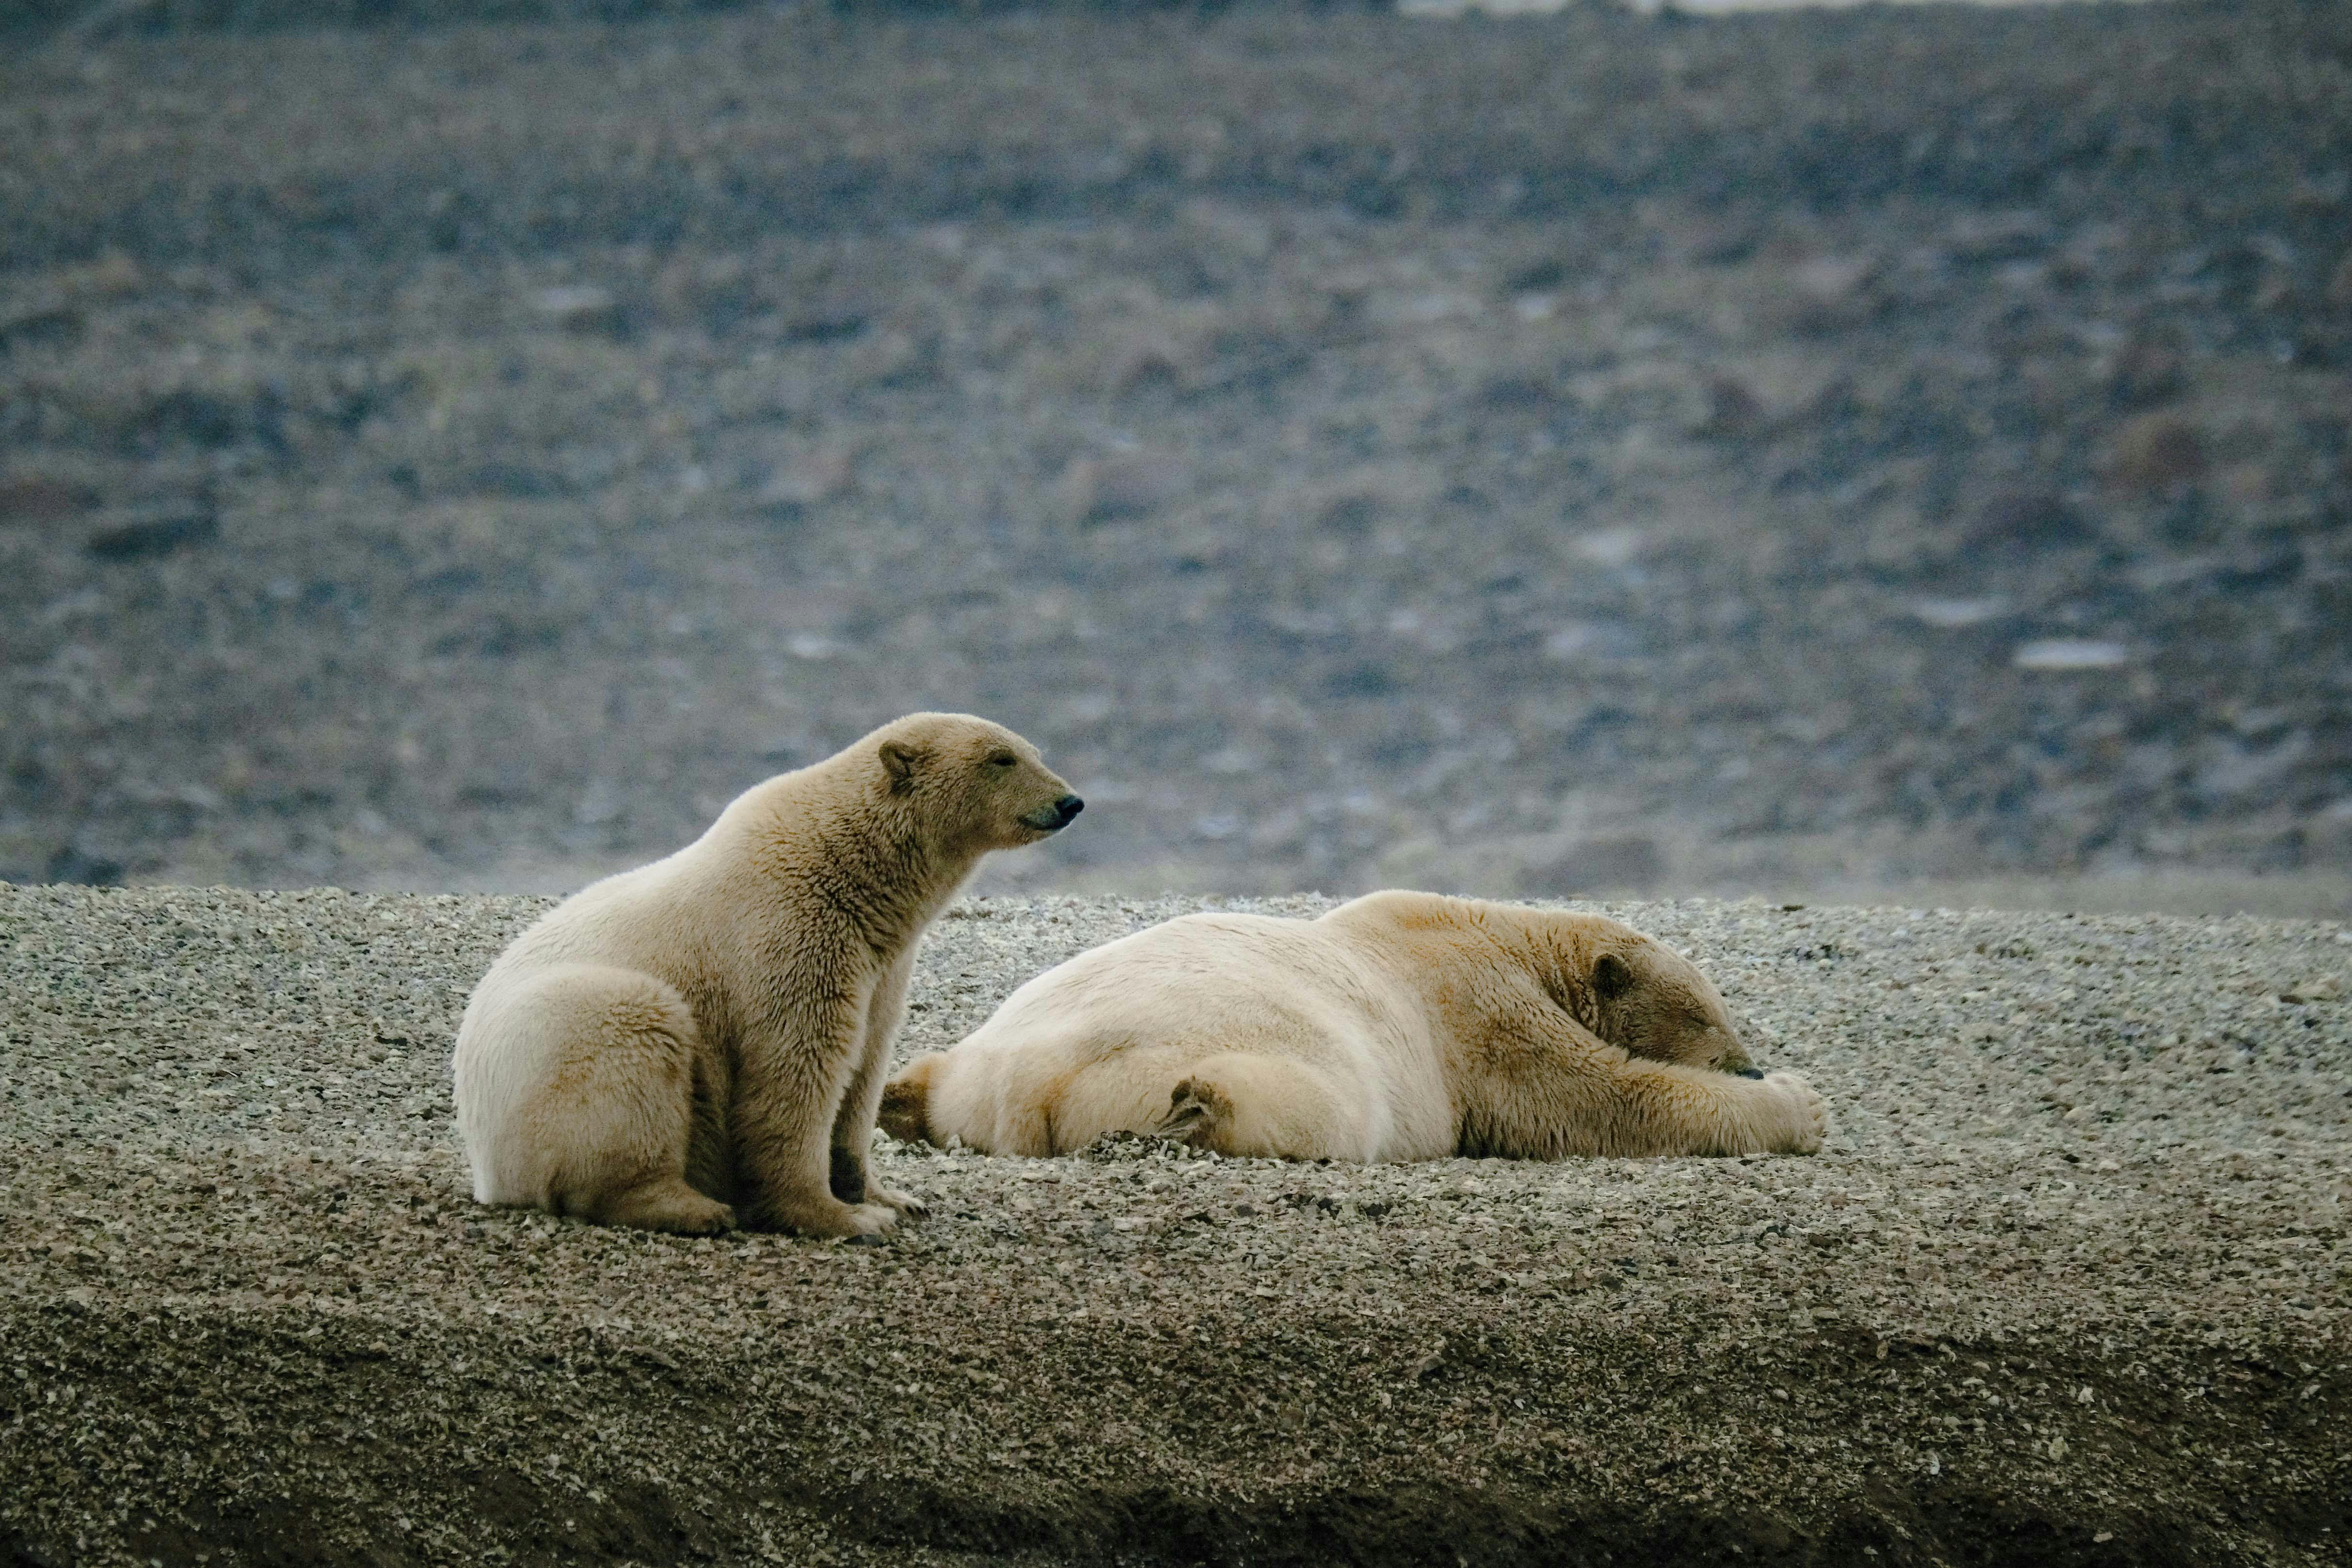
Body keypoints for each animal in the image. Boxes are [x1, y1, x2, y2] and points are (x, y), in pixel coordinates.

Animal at [452, 712, 1082, 1236]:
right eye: (1000, 758)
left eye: (1032, 750)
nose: (1071, 802)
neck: (852, 872)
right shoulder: (790, 935)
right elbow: (796, 1069)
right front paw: (841, 1218)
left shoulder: (880, 962)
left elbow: (865, 1068)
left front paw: (894, 1200)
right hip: (565, 1039)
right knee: (632, 1051)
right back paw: (692, 1207)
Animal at [879, 890, 1824, 1162]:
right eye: (1708, 1013)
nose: (1748, 1064)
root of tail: (1025, 1085)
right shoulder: (1474, 1005)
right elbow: (1599, 1101)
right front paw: (1799, 1101)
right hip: (1256, 1059)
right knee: (1307, 1104)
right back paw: (1197, 1108)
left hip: (982, 1055)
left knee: (934, 1069)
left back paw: (897, 1097)